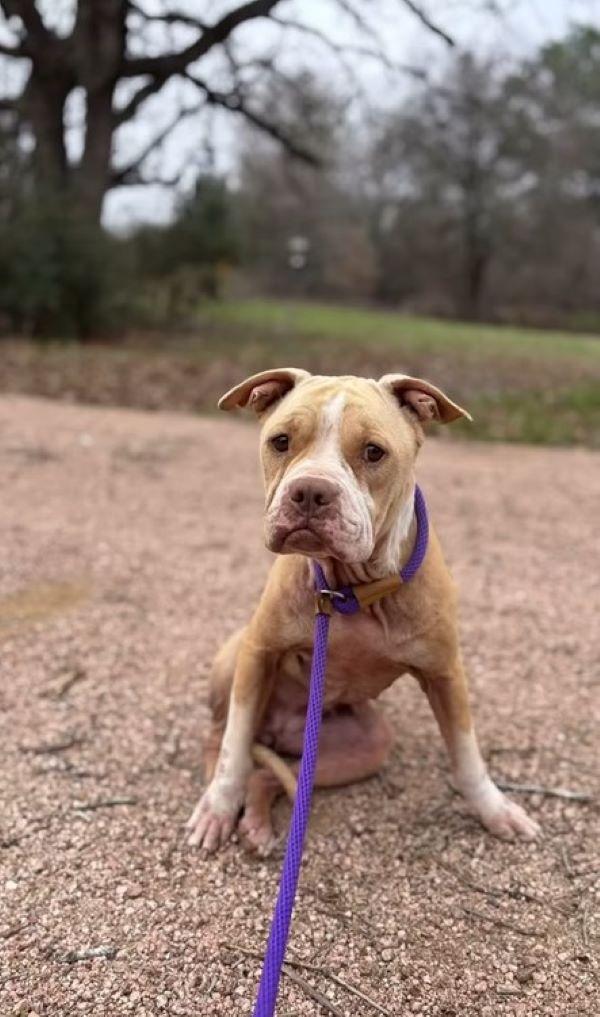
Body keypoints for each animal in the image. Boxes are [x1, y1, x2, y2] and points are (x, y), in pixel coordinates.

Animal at [188, 370, 541, 854]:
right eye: (281, 441)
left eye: (374, 452)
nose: (310, 491)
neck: (349, 589)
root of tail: (279, 729)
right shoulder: (258, 653)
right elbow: (233, 747)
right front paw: (220, 803)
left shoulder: (445, 673)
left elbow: (467, 755)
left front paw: (496, 810)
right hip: (233, 656)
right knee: (219, 737)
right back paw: (217, 805)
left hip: (357, 748)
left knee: (271, 775)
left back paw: (258, 823)